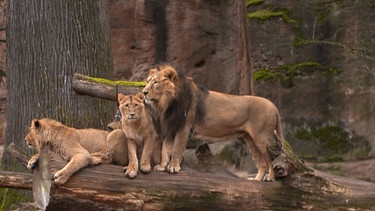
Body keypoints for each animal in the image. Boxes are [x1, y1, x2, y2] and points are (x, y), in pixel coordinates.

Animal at [143, 64, 284, 181]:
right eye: (148, 81)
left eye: (155, 82)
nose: (144, 92)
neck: (167, 104)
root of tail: (273, 105)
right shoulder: (171, 128)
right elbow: (165, 150)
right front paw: (161, 166)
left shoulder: (184, 128)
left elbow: (177, 149)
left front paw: (173, 167)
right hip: (250, 139)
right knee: (262, 163)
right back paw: (256, 180)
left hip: (262, 138)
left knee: (270, 159)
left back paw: (270, 177)